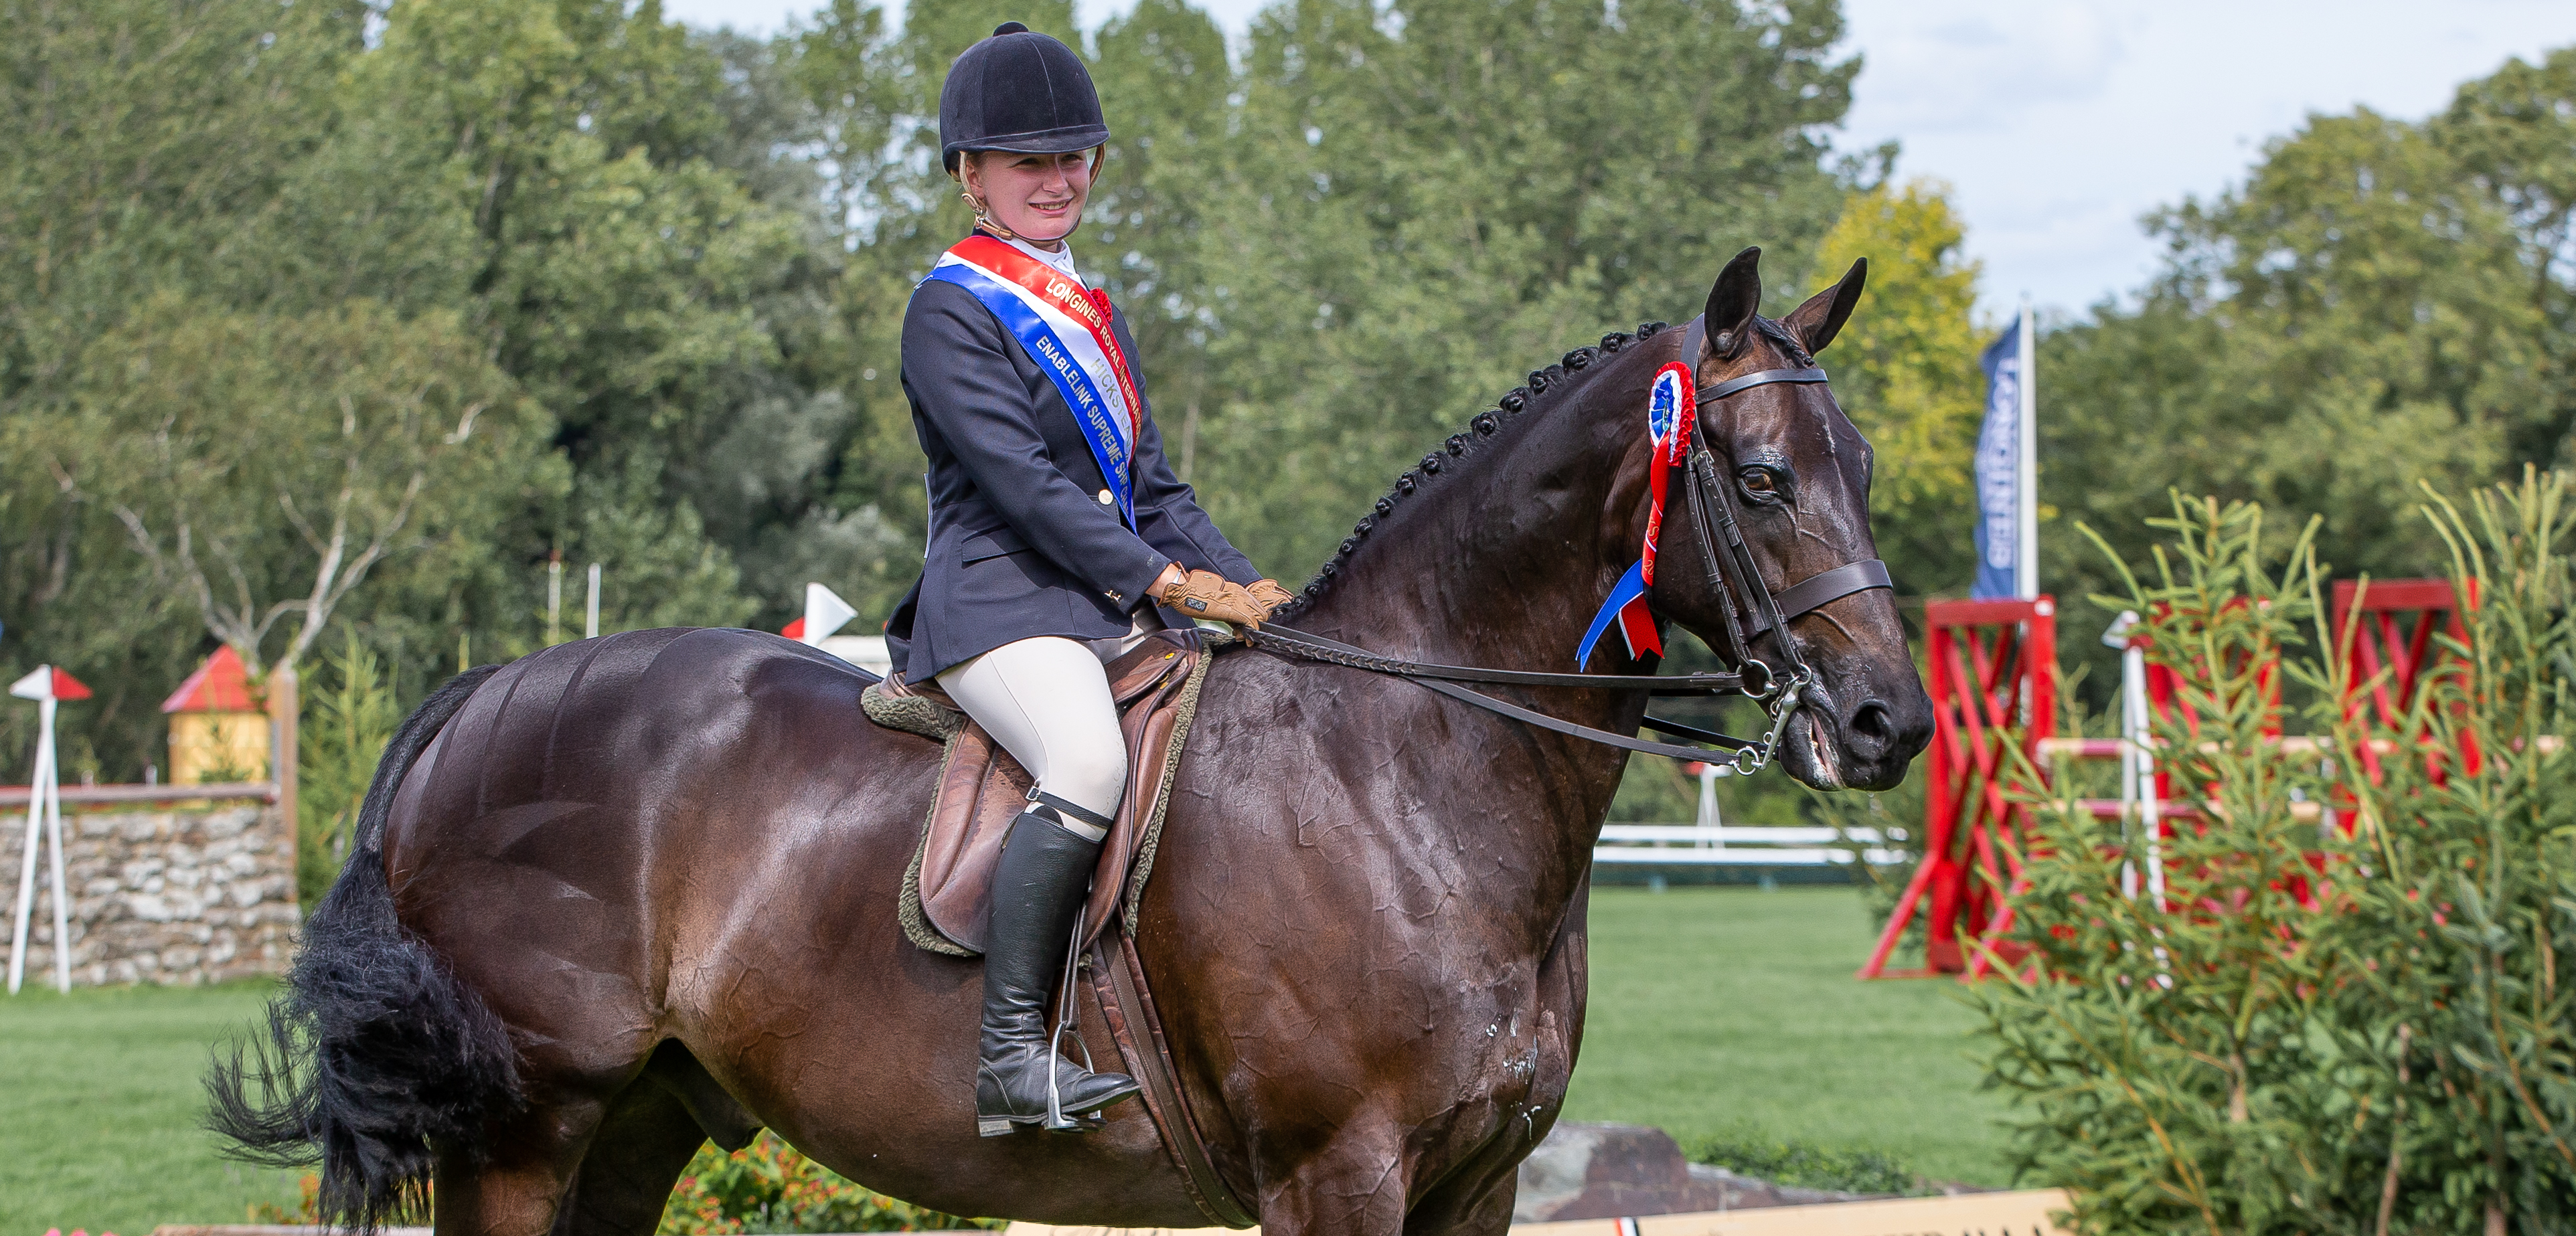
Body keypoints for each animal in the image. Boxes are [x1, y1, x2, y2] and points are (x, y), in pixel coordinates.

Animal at [206, 243, 1937, 1236]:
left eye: (1859, 459)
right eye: (1762, 476)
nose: (1887, 722)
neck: (1406, 772)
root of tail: (475, 699)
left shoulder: (1478, 1184)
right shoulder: (1337, 1172)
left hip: (634, 1123)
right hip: (524, 1130)